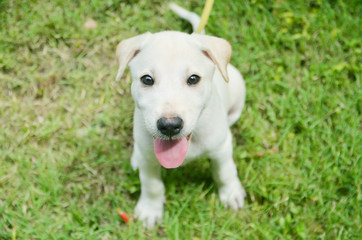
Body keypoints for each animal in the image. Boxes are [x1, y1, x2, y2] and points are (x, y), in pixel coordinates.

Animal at [116, 3, 246, 229]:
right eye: (147, 79)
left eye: (193, 79)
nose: (169, 125)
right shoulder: (149, 158)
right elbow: (151, 184)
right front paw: (150, 210)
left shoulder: (221, 148)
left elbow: (225, 171)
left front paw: (231, 194)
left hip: (238, 87)